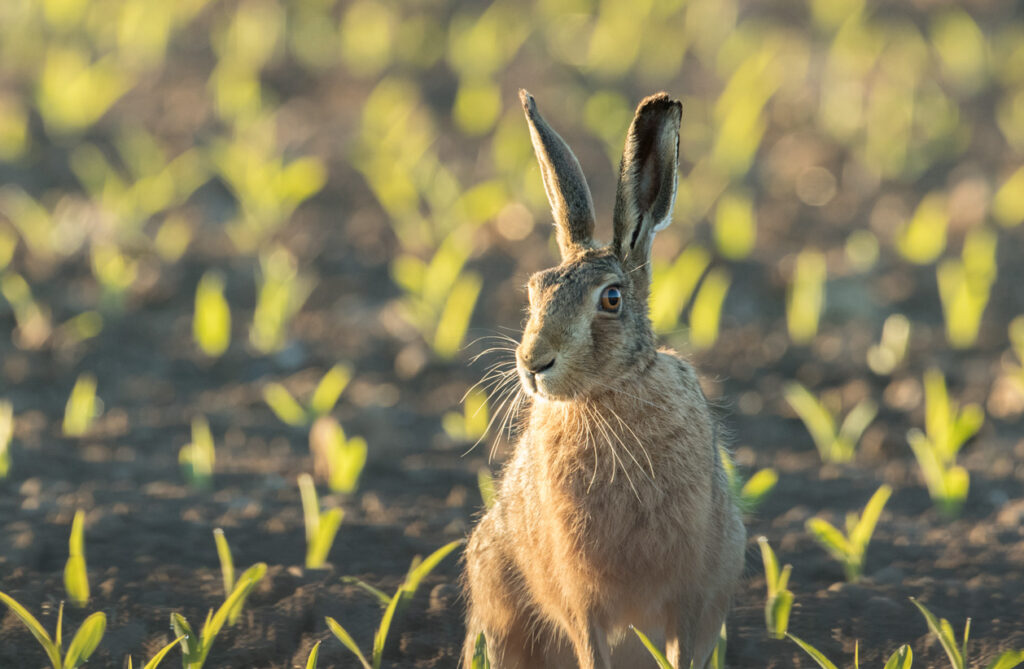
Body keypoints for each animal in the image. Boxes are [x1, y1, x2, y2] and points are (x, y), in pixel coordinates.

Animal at [461, 90, 746, 669]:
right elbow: (590, 646)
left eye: (611, 299)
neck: (609, 393)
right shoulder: (580, 599)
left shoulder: (692, 593)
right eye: (534, 290)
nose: (533, 362)